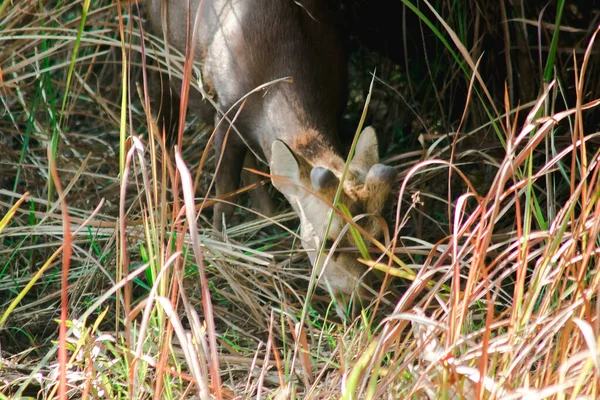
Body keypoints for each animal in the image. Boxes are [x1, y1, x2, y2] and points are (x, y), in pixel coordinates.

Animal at [146, 0, 398, 312]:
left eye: (379, 239)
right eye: (327, 242)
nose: (359, 301)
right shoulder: (223, 112)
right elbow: (225, 194)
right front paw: (218, 247)